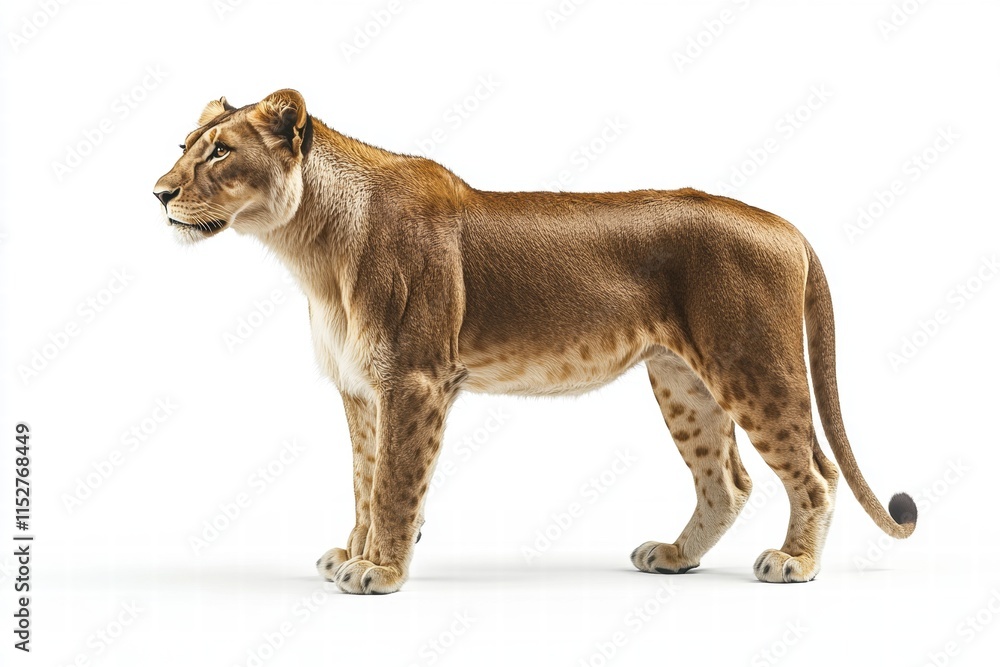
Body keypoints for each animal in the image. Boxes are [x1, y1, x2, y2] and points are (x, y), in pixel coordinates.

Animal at [153, 89, 916, 594]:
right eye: (184, 147)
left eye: (220, 151)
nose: (158, 192)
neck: (311, 251)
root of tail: (788, 226)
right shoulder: (360, 388)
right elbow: (365, 480)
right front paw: (354, 552)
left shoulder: (416, 380)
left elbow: (396, 481)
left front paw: (382, 569)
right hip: (682, 380)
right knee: (727, 482)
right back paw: (674, 555)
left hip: (754, 368)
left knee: (813, 472)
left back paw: (794, 563)